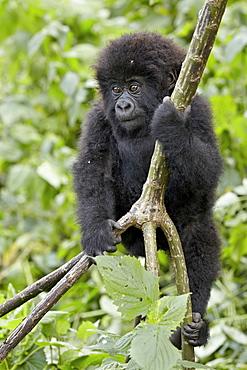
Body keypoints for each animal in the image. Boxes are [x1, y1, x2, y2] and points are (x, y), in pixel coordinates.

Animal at [73, 31, 222, 346]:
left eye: (134, 87)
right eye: (116, 89)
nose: (122, 106)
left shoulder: (199, 110)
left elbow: (208, 171)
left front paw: (171, 125)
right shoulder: (98, 118)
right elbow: (92, 169)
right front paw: (95, 231)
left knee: (199, 235)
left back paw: (193, 327)